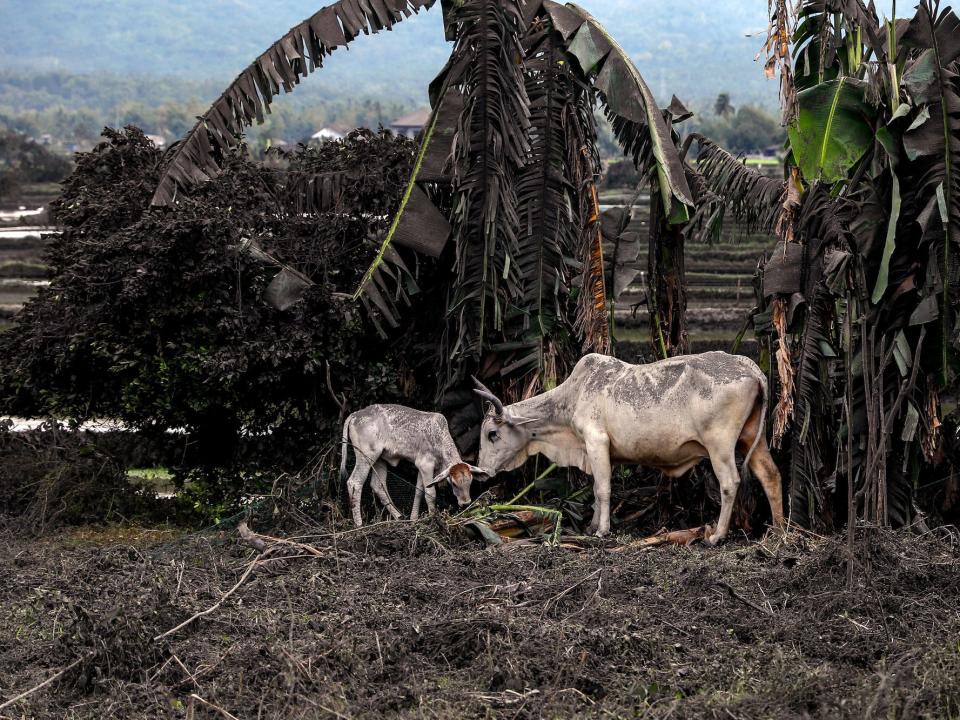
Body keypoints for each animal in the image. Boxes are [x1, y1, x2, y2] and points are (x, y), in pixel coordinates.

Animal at [342, 402, 484, 524]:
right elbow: (430, 493)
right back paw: (359, 524)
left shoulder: (421, 468)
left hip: (379, 459)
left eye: (470, 481)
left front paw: (414, 518)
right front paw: (433, 518)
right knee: (354, 482)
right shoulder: (426, 465)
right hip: (366, 456)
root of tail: (354, 414)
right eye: (454, 483)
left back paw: (399, 516)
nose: (465, 503)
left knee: (378, 485)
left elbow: (419, 492)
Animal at [476, 352, 784, 544]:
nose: (481, 471)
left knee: (730, 483)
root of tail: (746, 364)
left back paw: (717, 535)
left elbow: (603, 490)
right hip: (752, 439)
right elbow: (596, 490)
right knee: (771, 475)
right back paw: (779, 528)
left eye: (492, 434)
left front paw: (602, 530)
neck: (572, 397)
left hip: (719, 444)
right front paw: (592, 526)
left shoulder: (596, 441)